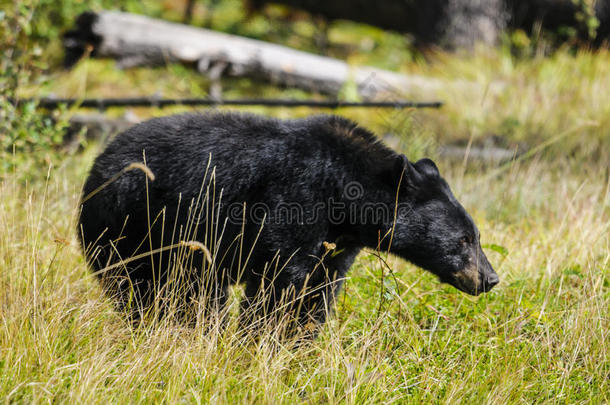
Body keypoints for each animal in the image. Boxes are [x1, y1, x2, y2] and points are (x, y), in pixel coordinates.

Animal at [79, 113, 498, 332]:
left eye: (476, 235)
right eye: (464, 239)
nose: (490, 278)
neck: (345, 192)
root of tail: (97, 165)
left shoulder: (338, 243)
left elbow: (319, 289)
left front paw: (300, 343)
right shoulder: (292, 199)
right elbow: (278, 282)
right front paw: (262, 339)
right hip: (130, 224)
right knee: (159, 289)